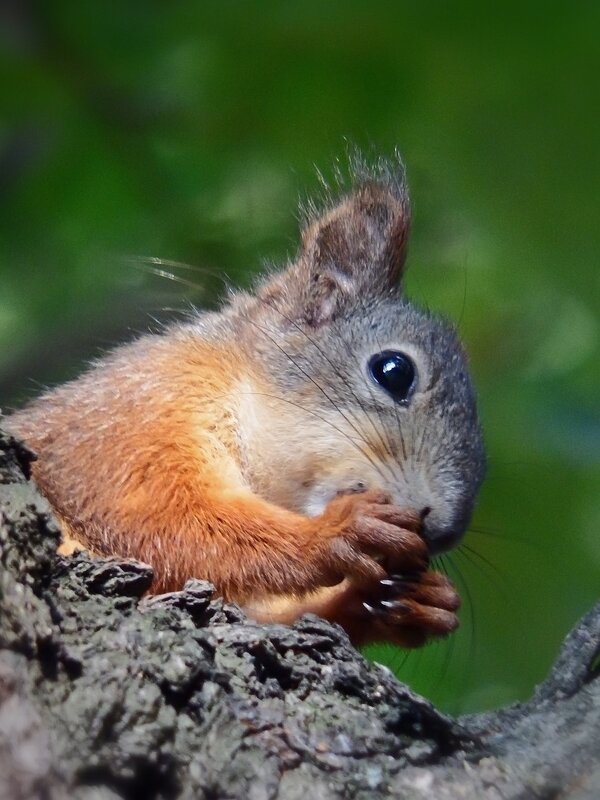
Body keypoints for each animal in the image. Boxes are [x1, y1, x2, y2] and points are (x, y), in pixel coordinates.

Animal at [4, 155, 486, 648]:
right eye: (394, 371)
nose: (441, 531)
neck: (238, 384)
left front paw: (400, 601)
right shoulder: (133, 418)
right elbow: (157, 516)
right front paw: (336, 532)